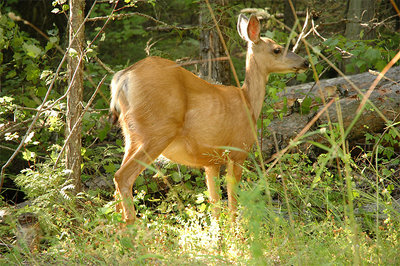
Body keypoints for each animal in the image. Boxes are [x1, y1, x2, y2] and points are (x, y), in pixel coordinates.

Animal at [108, 13, 308, 223]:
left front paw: (218, 231)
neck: (248, 102)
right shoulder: (238, 151)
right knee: (122, 177)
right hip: (157, 132)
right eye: (277, 49)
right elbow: (232, 200)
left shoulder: (210, 161)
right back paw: (133, 227)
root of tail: (123, 78)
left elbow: (214, 204)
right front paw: (236, 229)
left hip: (130, 134)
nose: (305, 62)